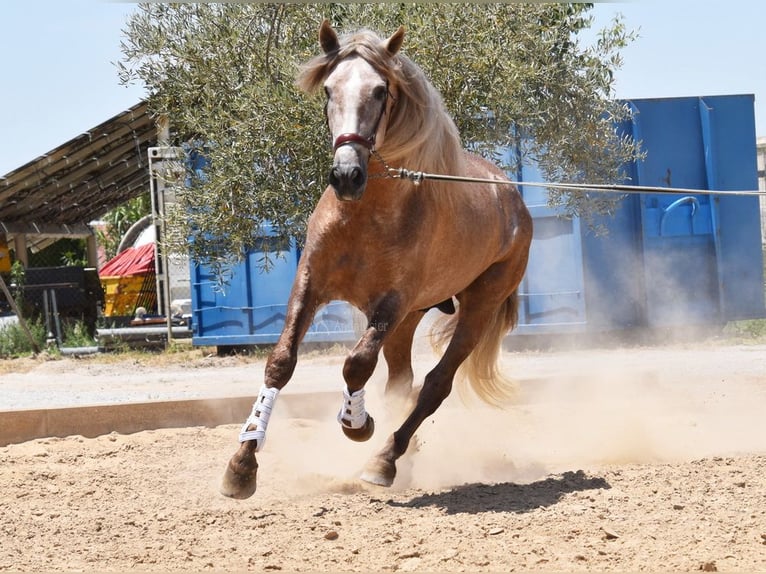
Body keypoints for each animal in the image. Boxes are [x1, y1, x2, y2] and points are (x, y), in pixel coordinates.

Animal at [220, 21, 536, 500]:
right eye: (329, 89)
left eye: (380, 91)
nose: (346, 175)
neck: (366, 214)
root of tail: (514, 200)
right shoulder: (310, 283)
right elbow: (281, 362)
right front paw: (242, 464)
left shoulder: (392, 302)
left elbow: (356, 364)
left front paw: (357, 423)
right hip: (411, 320)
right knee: (402, 381)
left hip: (476, 308)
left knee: (434, 385)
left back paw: (386, 458)